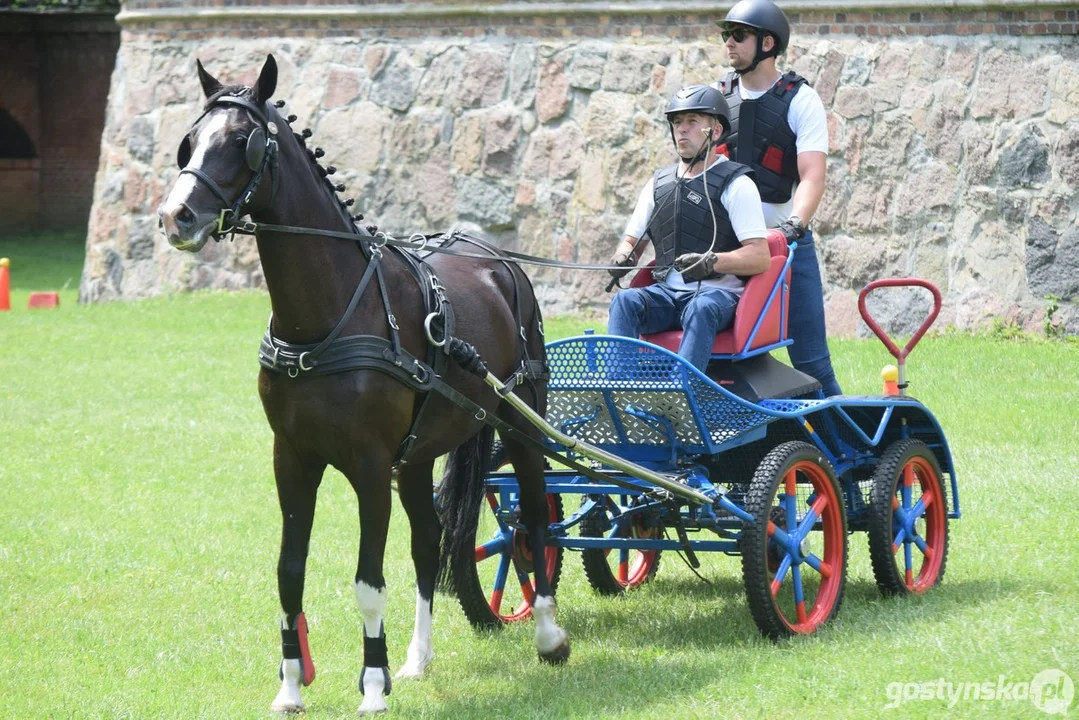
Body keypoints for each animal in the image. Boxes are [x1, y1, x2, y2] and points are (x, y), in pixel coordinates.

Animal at [157, 55, 574, 716]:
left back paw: (549, 634)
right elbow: (289, 572)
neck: (326, 316)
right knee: (429, 541)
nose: (177, 217)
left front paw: (372, 685)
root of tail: (499, 261)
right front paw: (292, 684)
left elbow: (368, 582)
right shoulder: (292, 459)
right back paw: (418, 657)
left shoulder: (371, 466)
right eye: (190, 141)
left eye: (242, 142)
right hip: (421, 453)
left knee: (534, 518)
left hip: (519, 424)